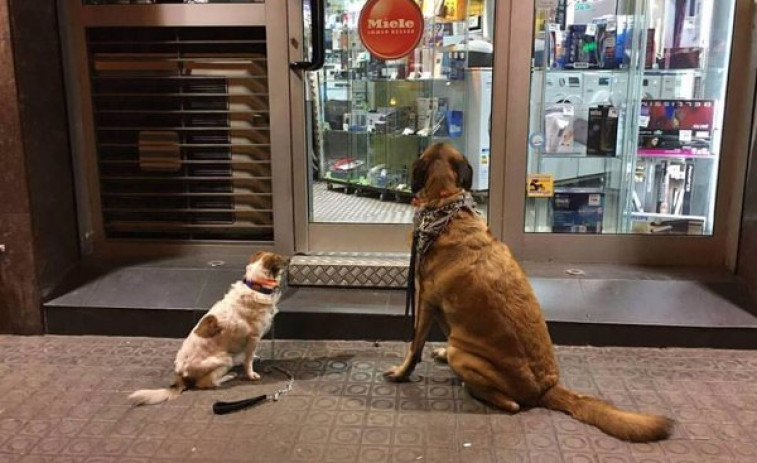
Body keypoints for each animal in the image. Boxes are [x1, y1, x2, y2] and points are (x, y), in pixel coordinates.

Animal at [128, 252, 288, 408]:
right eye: (280, 258)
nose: (289, 258)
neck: (256, 286)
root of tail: (181, 375)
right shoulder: (253, 338)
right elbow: (248, 361)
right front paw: (251, 374)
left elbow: (249, 356)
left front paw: (253, 358)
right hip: (225, 360)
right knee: (208, 383)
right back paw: (230, 375)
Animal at [386, 144, 672, 442]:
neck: (446, 201)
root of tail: (546, 389)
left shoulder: (425, 301)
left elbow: (414, 346)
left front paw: (401, 372)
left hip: (462, 355)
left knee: (510, 403)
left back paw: (474, 388)